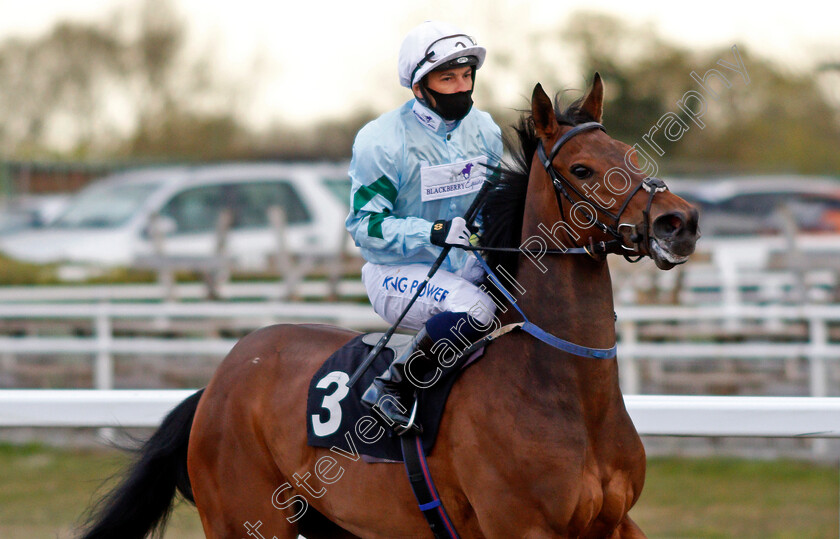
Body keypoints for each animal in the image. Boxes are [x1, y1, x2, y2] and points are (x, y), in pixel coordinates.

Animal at [82, 73, 704, 539]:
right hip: (244, 520)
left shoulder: (616, 523)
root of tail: (217, 382)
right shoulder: (522, 527)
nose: (679, 222)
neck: (566, 388)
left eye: (630, 155)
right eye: (581, 169)